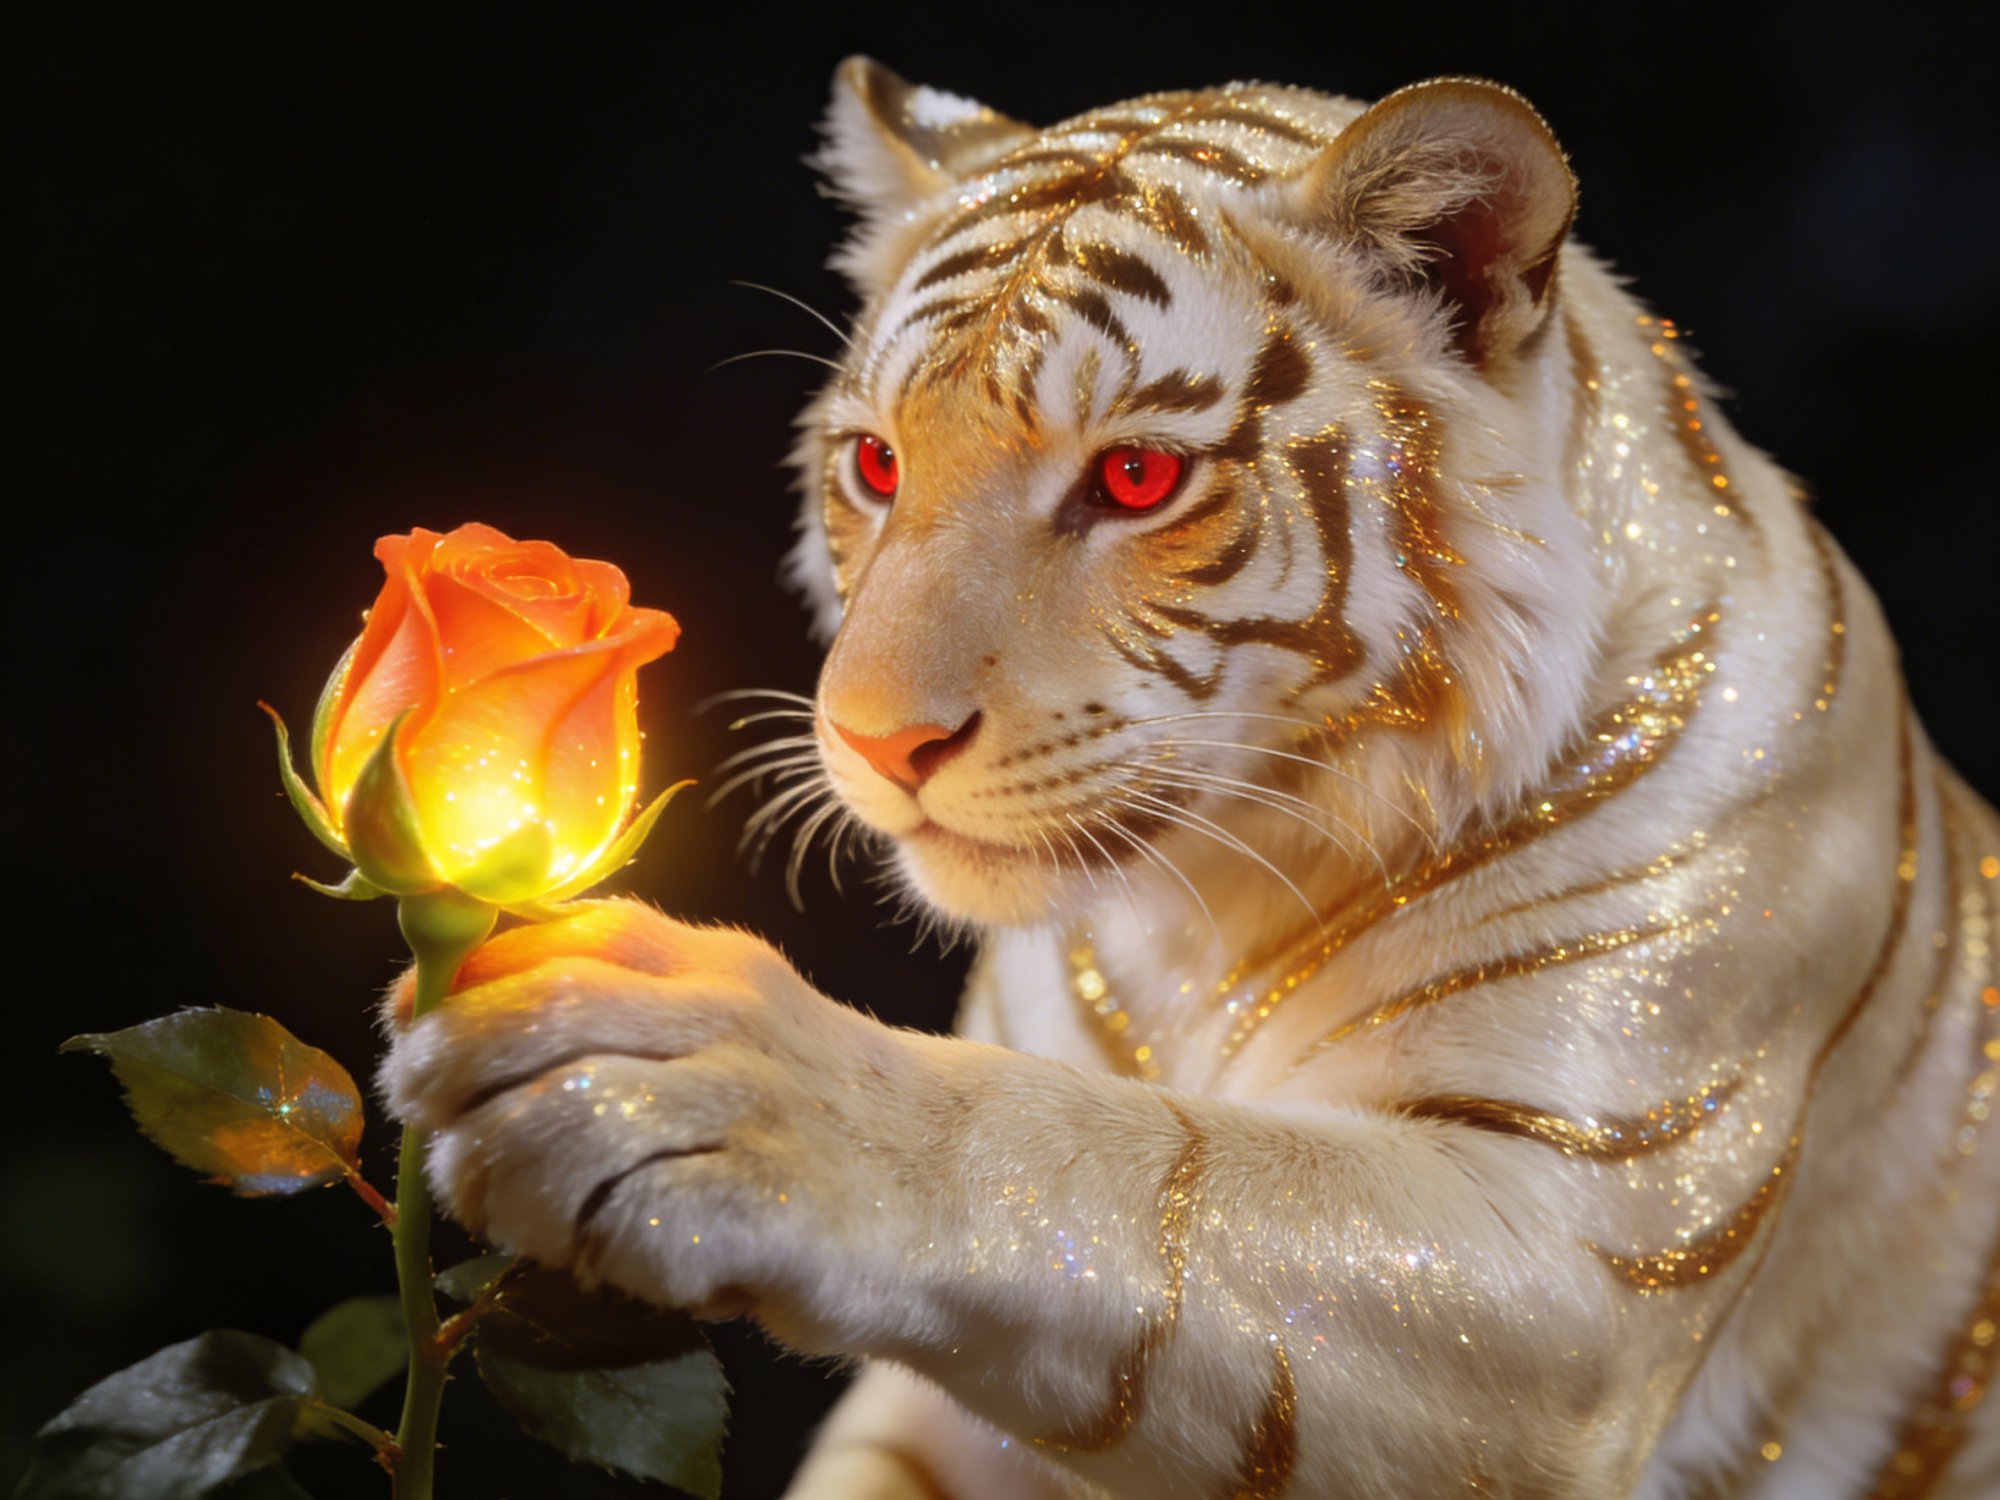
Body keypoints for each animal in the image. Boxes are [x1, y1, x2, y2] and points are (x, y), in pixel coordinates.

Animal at [380, 59, 2000, 1498]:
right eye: (879, 466)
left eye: (1137, 479)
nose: (874, 742)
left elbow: (1141, 1182)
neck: (1205, 913)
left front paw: (667, 1074)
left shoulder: (1579, 1246)